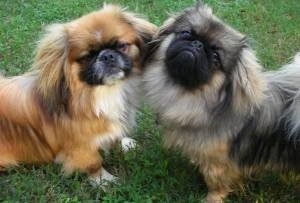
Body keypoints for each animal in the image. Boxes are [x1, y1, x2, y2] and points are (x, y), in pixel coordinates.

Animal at [0, 4, 157, 186]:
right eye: (87, 56)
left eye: (121, 46)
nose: (107, 55)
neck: (103, 93)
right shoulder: (80, 146)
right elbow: (93, 163)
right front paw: (104, 181)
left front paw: (125, 144)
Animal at [144, 1, 298, 201]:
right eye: (186, 33)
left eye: (216, 56)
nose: (197, 44)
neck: (191, 95)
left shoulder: (218, 163)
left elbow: (216, 183)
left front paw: (212, 198)